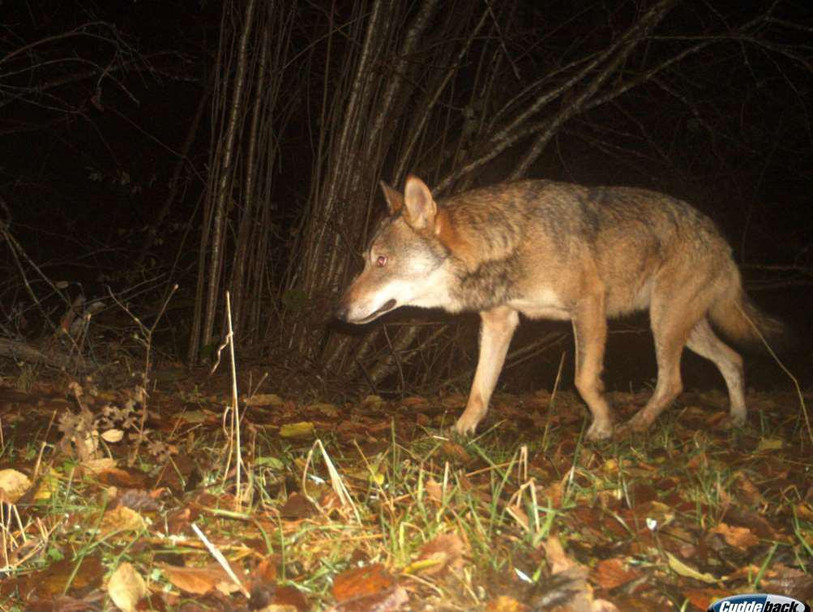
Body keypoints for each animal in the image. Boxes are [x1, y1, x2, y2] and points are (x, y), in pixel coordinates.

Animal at [335, 175, 784, 439]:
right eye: (364, 260)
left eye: (381, 261)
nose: (338, 313)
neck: (509, 244)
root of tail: (720, 238)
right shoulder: (500, 321)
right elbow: (479, 390)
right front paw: (460, 432)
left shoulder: (589, 308)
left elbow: (584, 380)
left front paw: (602, 426)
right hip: (680, 327)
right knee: (733, 360)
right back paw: (738, 420)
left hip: (665, 323)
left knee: (673, 383)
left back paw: (635, 426)